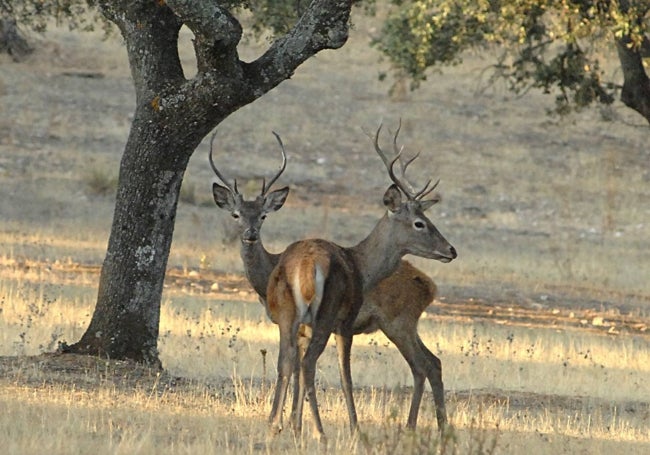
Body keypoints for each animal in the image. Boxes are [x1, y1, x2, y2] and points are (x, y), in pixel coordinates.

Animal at [210, 126, 454, 440]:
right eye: (419, 223)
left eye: (263, 215)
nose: (451, 250)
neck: (361, 266)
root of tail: (430, 287)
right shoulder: (340, 322)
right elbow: (339, 375)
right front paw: (340, 427)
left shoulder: (317, 324)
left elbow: (312, 371)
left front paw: (297, 424)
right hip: (382, 321)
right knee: (425, 364)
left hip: (382, 320)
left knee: (426, 364)